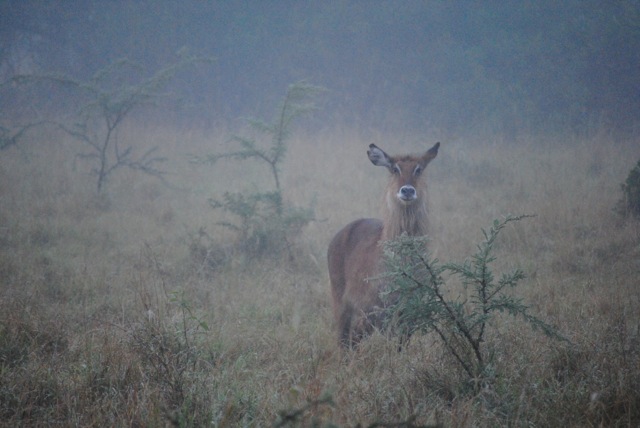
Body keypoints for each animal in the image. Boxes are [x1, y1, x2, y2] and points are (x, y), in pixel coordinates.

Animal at [324, 142, 440, 346]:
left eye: (418, 169)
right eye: (395, 169)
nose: (407, 190)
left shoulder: (408, 313)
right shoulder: (375, 310)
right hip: (341, 301)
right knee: (345, 339)